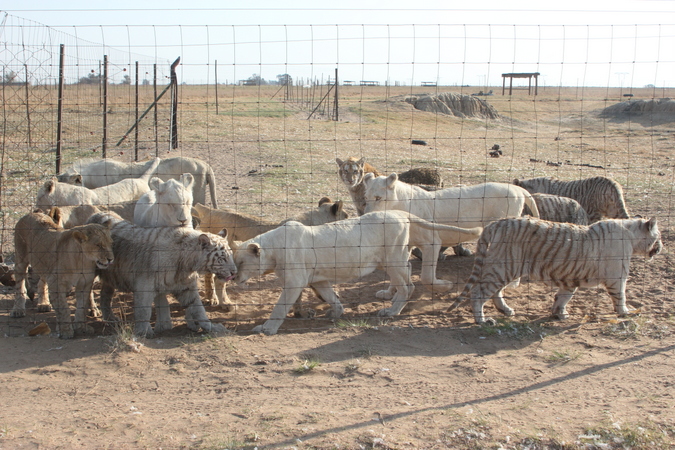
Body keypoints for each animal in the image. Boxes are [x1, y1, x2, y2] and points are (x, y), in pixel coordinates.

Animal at [86, 213, 238, 336]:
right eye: (222, 258)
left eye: (230, 255)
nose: (234, 272)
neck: (187, 264)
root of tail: (94, 215)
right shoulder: (144, 287)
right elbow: (144, 310)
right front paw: (144, 332)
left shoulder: (186, 288)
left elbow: (199, 309)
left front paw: (211, 327)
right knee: (88, 291)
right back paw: (94, 311)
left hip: (111, 278)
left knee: (105, 295)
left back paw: (110, 317)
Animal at [446, 216, 664, 326]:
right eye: (659, 236)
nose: (661, 247)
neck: (632, 236)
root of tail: (497, 222)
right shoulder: (617, 277)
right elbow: (621, 296)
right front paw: (625, 313)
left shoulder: (571, 278)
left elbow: (563, 297)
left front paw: (559, 314)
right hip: (505, 266)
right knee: (479, 292)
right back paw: (482, 320)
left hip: (504, 267)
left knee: (494, 292)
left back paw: (505, 310)